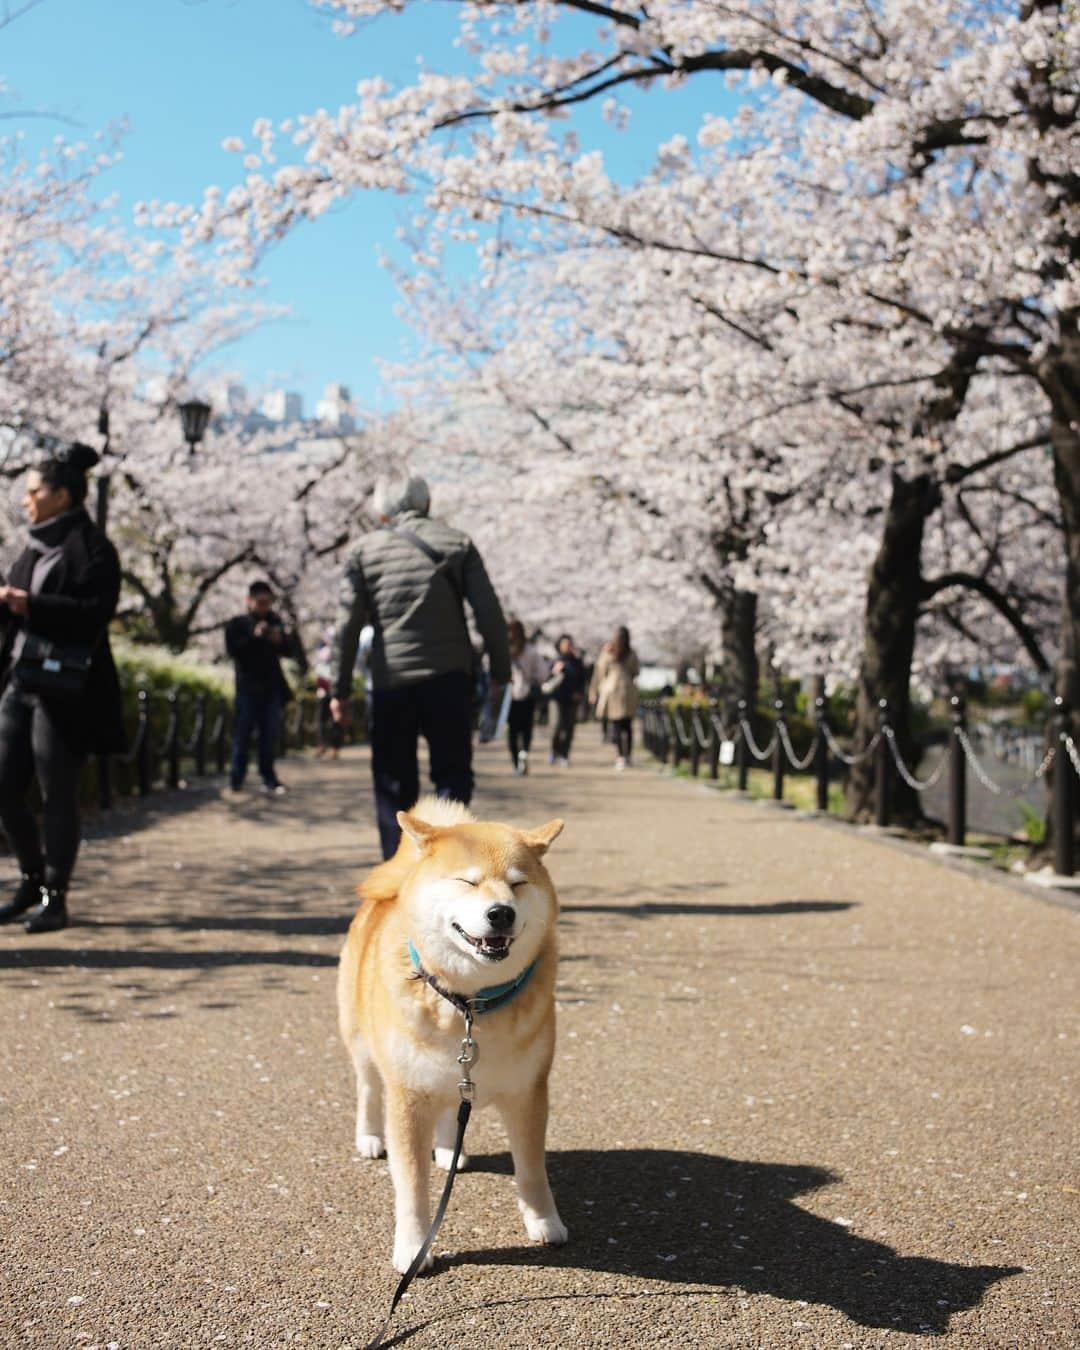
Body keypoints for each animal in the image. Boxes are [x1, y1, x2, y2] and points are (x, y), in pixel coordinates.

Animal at [341, 793, 569, 1269]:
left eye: (518, 884)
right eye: (468, 881)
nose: (501, 913)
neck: (470, 1004)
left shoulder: (529, 1091)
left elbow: (531, 1168)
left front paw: (543, 1221)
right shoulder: (408, 1096)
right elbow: (412, 1186)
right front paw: (413, 1246)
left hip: (453, 1076)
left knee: (451, 1109)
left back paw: (450, 1150)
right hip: (363, 1043)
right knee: (368, 1089)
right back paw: (369, 1137)